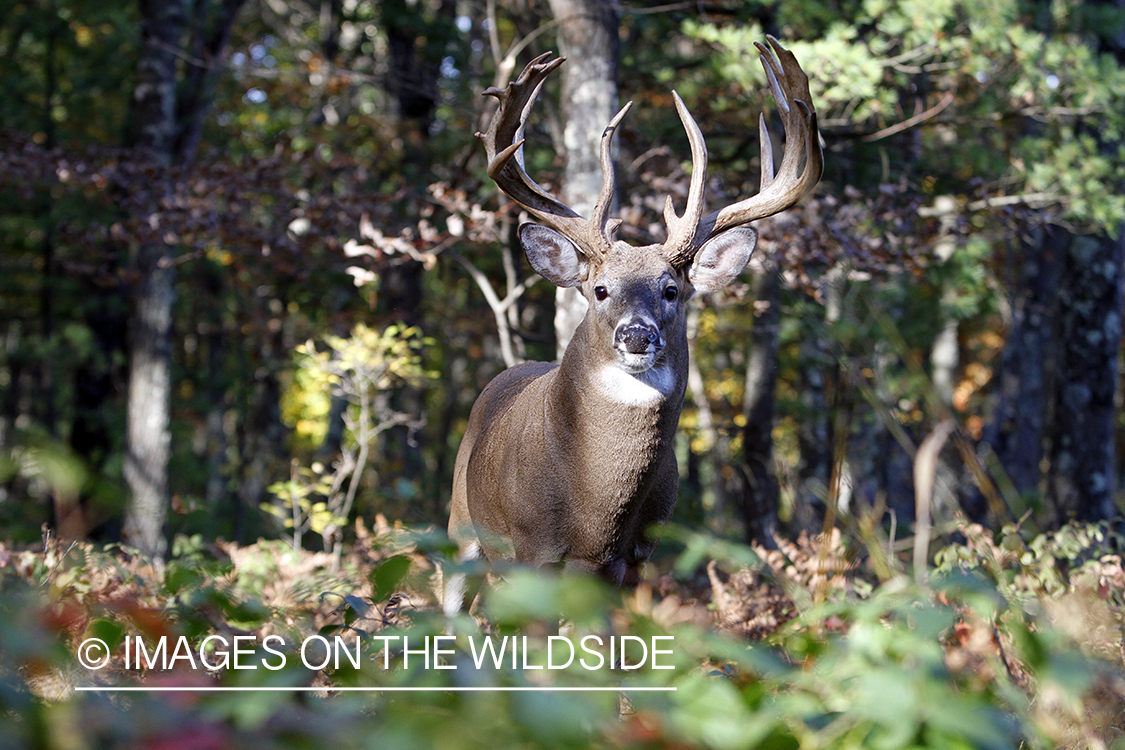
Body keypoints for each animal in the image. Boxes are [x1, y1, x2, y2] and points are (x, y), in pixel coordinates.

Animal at [443, 35, 823, 616]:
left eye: (672, 290)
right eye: (600, 290)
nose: (637, 335)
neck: (594, 508)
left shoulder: (636, 556)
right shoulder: (533, 547)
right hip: (461, 528)